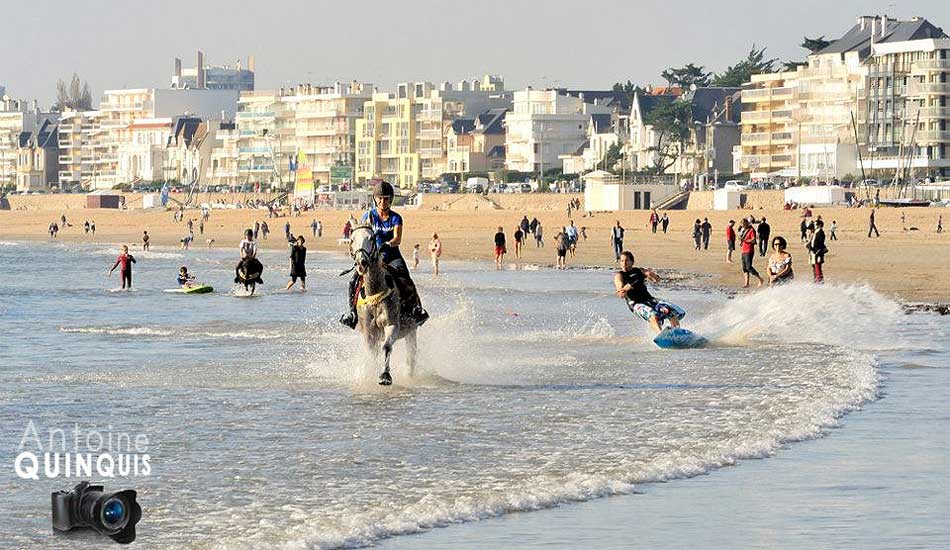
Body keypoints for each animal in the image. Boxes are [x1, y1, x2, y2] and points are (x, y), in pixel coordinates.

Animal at [348, 224, 418, 388]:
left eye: (371, 238)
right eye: (352, 239)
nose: (362, 262)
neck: (375, 290)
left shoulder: (392, 325)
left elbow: (386, 347)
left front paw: (385, 376)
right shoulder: (369, 332)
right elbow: (372, 353)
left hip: (412, 330)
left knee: (411, 355)